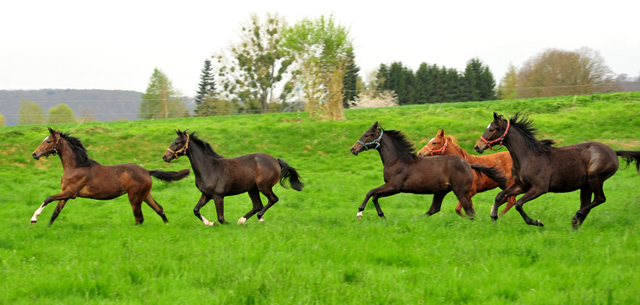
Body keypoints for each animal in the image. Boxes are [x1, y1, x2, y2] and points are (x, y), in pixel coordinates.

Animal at [30, 127, 190, 224]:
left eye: (48, 141)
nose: (34, 154)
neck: (76, 166)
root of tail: (146, 171)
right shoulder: (66, 193)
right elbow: (55, 213)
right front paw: (46, 228)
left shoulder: (71, 192)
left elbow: (48, 198)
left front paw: (34, 218)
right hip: (145, 195)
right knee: (159, 209)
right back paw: (167, 225)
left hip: (134, 198)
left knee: (139, 217)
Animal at [164, 128, 306, 226]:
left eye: (177, 142)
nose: (165, 157)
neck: (208, 167)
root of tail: (276, 160)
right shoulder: (206, 194)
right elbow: (196, 210)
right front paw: (210, 223)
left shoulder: (218, 196)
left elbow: (221, 218)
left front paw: (226, 224)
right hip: (252, 189)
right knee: (257, 205)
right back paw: (243, 220)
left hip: (263, 186)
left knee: (272, 199)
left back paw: (257, 218)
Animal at [350, 121, 504, 218]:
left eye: (367, 135)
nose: (353, 149)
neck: (397, 160)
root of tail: (468, 164)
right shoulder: (390, 187)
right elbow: (375, 196)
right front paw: (382, 215)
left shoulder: (394, 186)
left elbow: (370, 192)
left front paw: (360, 212)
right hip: (442, 191)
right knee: (435, 208)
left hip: (461, 192)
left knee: (469, 212)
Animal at [472, 113, 640, 227]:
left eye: (492, 129)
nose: (478, 146)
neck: (528, 156)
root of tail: (614, 152)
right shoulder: (521, 186)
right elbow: (499, 196)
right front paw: (494, 217)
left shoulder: (539, 188)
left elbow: (518, 204)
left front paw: (537, 222)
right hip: (586, 185)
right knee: (588, 204)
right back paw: (575, 225)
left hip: (595, 179)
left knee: (600, 199)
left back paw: (576, 216)